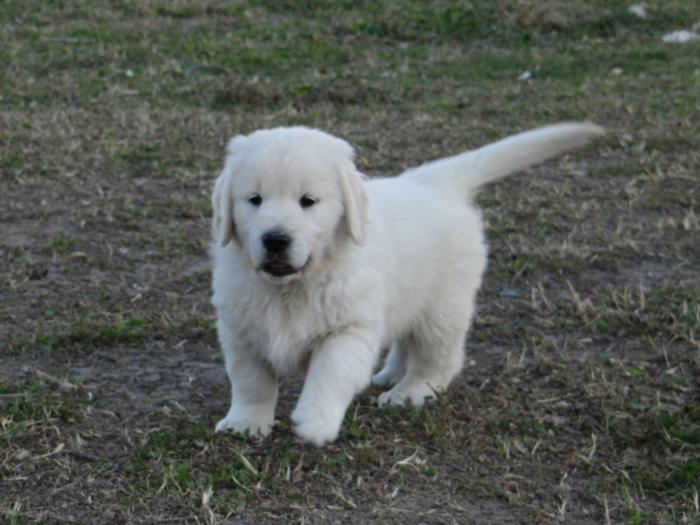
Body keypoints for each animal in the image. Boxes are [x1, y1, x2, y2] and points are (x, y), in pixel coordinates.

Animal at [211, 121, 604, 444]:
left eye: (308, 201)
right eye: (254, 200)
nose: (275, 239)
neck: (290, 289)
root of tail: (434, 181)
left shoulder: (351, 327)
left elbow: (330, 370)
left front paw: (315, 419)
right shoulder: (239, 329)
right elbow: (250, 380)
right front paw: (246, 423)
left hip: (443, 308)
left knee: (439, 358)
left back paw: (410, 391)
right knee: (406, 338)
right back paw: (390, 374)